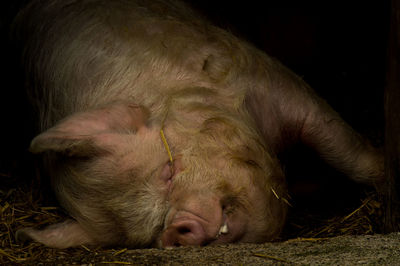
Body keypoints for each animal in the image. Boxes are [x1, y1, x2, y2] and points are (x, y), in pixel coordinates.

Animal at [14, 0, 384, 249]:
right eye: (150, 232)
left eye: (169, 170)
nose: (176, 227)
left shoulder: (263, 76)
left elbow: (341, 145)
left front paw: (381, 173)